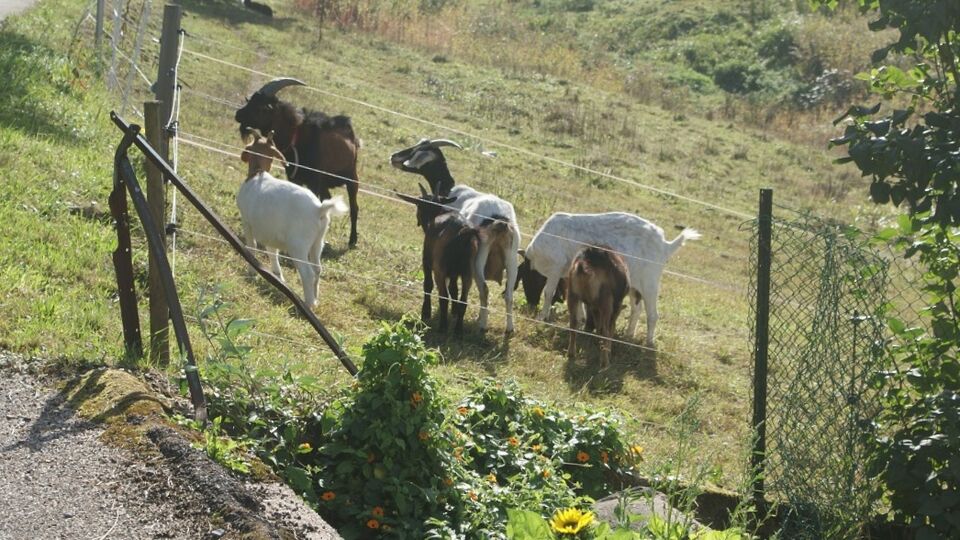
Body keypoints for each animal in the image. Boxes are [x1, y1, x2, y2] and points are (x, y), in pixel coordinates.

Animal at [235, 78, 361, 247]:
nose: (238, 114)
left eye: (262, 107)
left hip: (351, 177)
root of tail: (352, 135)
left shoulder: (315, 180)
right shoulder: (295, 178)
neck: (296, 136)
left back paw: (352, 240)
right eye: (251, 100)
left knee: (354, 207)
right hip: (325, 183)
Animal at [237, 130, 348, 308]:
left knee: (307, 273)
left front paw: (251, 272)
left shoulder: (247, 221)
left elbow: (252, 246)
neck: (258, 173)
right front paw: (278, 276)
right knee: (317, 269)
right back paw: (315, 299)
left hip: (298, 244)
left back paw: (308, 303)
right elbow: (272, 251)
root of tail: (318, 209)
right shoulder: (269, 232)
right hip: (318, 241)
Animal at [396, 185, 478, 335]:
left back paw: (443, 327)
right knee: (463, 300)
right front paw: (454, 311)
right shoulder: (454, 274)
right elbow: (454, 289)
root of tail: (463, 232)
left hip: (440, 269)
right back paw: (458, 331)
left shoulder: (427, 262)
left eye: (419, 205)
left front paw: (426, 312)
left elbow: (428, 285)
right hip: (468, 272)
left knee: (443, 296)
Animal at [518, 212, 701, 347]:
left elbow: (548, 292)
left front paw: (542, 317)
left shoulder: (555, 268)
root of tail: (666, 245)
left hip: (650, 282)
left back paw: (648, 343)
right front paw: (581, 321)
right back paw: (628, 335)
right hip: (635, 286)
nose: (531, 304)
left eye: (526, 280)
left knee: (653, 314)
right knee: (637, 308)